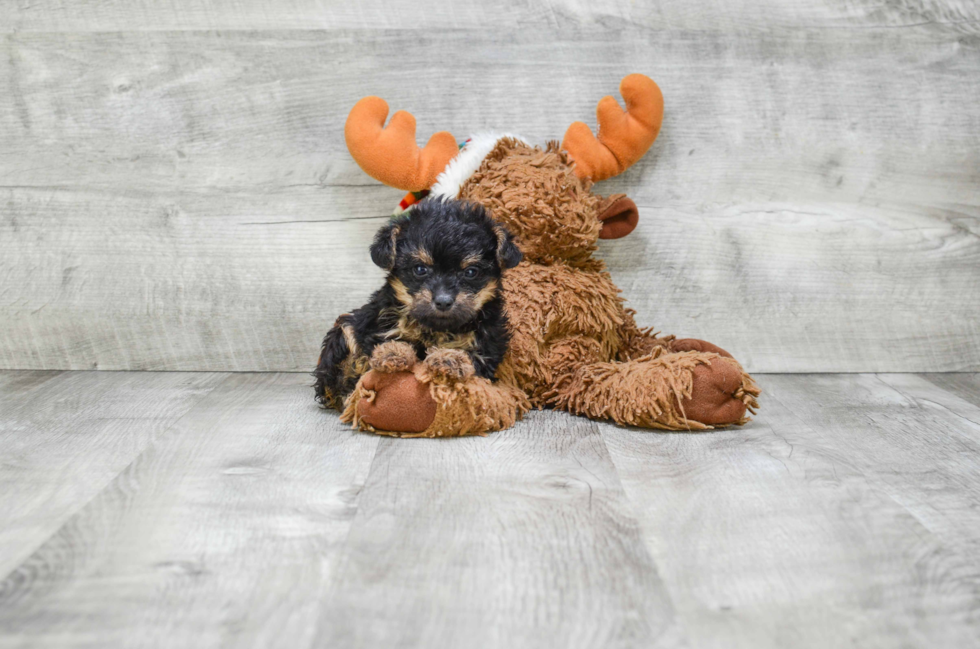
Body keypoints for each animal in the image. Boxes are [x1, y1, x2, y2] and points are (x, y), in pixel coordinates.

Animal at [318, 199, 524, 410]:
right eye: (420, 269)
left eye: (471, 272)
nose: (443, 301)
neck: (435, 328)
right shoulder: (376, 326)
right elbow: (385, 342)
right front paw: (392, 353)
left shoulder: (487, 344)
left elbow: (471, 357)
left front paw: (450, 359)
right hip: (344, 329)